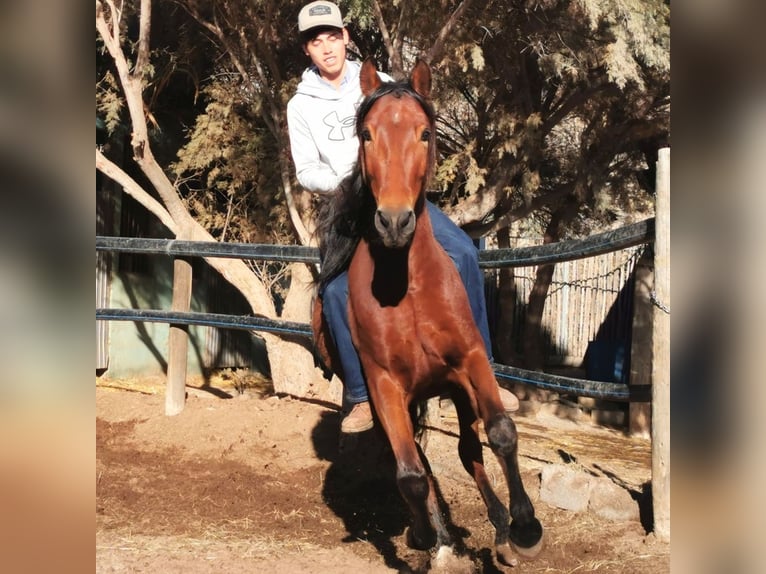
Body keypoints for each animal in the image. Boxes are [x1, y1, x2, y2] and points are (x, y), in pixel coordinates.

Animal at [312, 56, 544, 568]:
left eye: (424, 133)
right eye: (366, 134)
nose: (395, 221)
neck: (407, 288)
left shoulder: (471, 362)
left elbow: (500, 433)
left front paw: (526, 528)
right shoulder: (385, 387)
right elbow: (411, 475)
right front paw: (431, 541)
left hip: (455, 389)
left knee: (468, 449)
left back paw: (502, 531)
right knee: (413, 461)